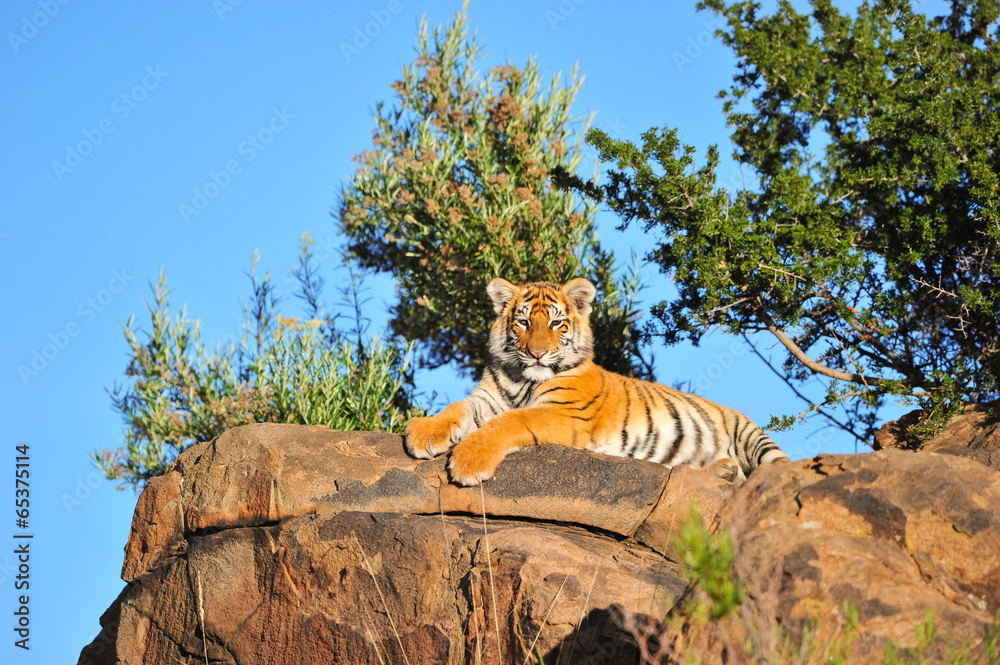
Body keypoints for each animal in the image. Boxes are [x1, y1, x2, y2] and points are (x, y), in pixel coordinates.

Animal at [405, 276, 790, 486]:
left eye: (556, 324)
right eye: (524, 322)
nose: (538, 354)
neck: (520, 378)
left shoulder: (565, 412)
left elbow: (511, 421)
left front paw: (468, 461)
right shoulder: (487, 399)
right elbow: (458, 406)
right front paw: (424, 434)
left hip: (751, 436)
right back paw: (722, 470)